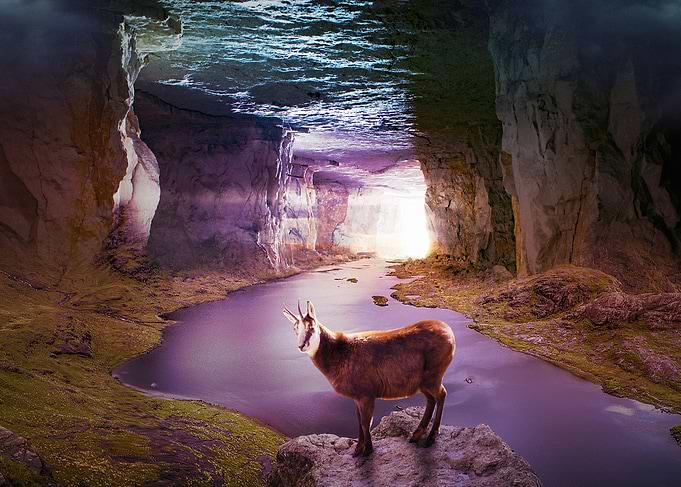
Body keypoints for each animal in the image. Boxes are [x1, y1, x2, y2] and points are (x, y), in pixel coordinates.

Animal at [283, 300, 455, 457]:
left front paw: (367, 451)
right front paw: (358, 449)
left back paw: (431, 436)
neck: (340, 352)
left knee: (441, 395)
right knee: (431, 399)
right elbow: (359, 421)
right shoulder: (357, 397)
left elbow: (366, 422)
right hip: (423, 383)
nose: (301, 346)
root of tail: (449, 332)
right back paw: (416, 435)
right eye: (295, 328)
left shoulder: (366, 394)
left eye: (311, 327)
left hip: (434, 377)